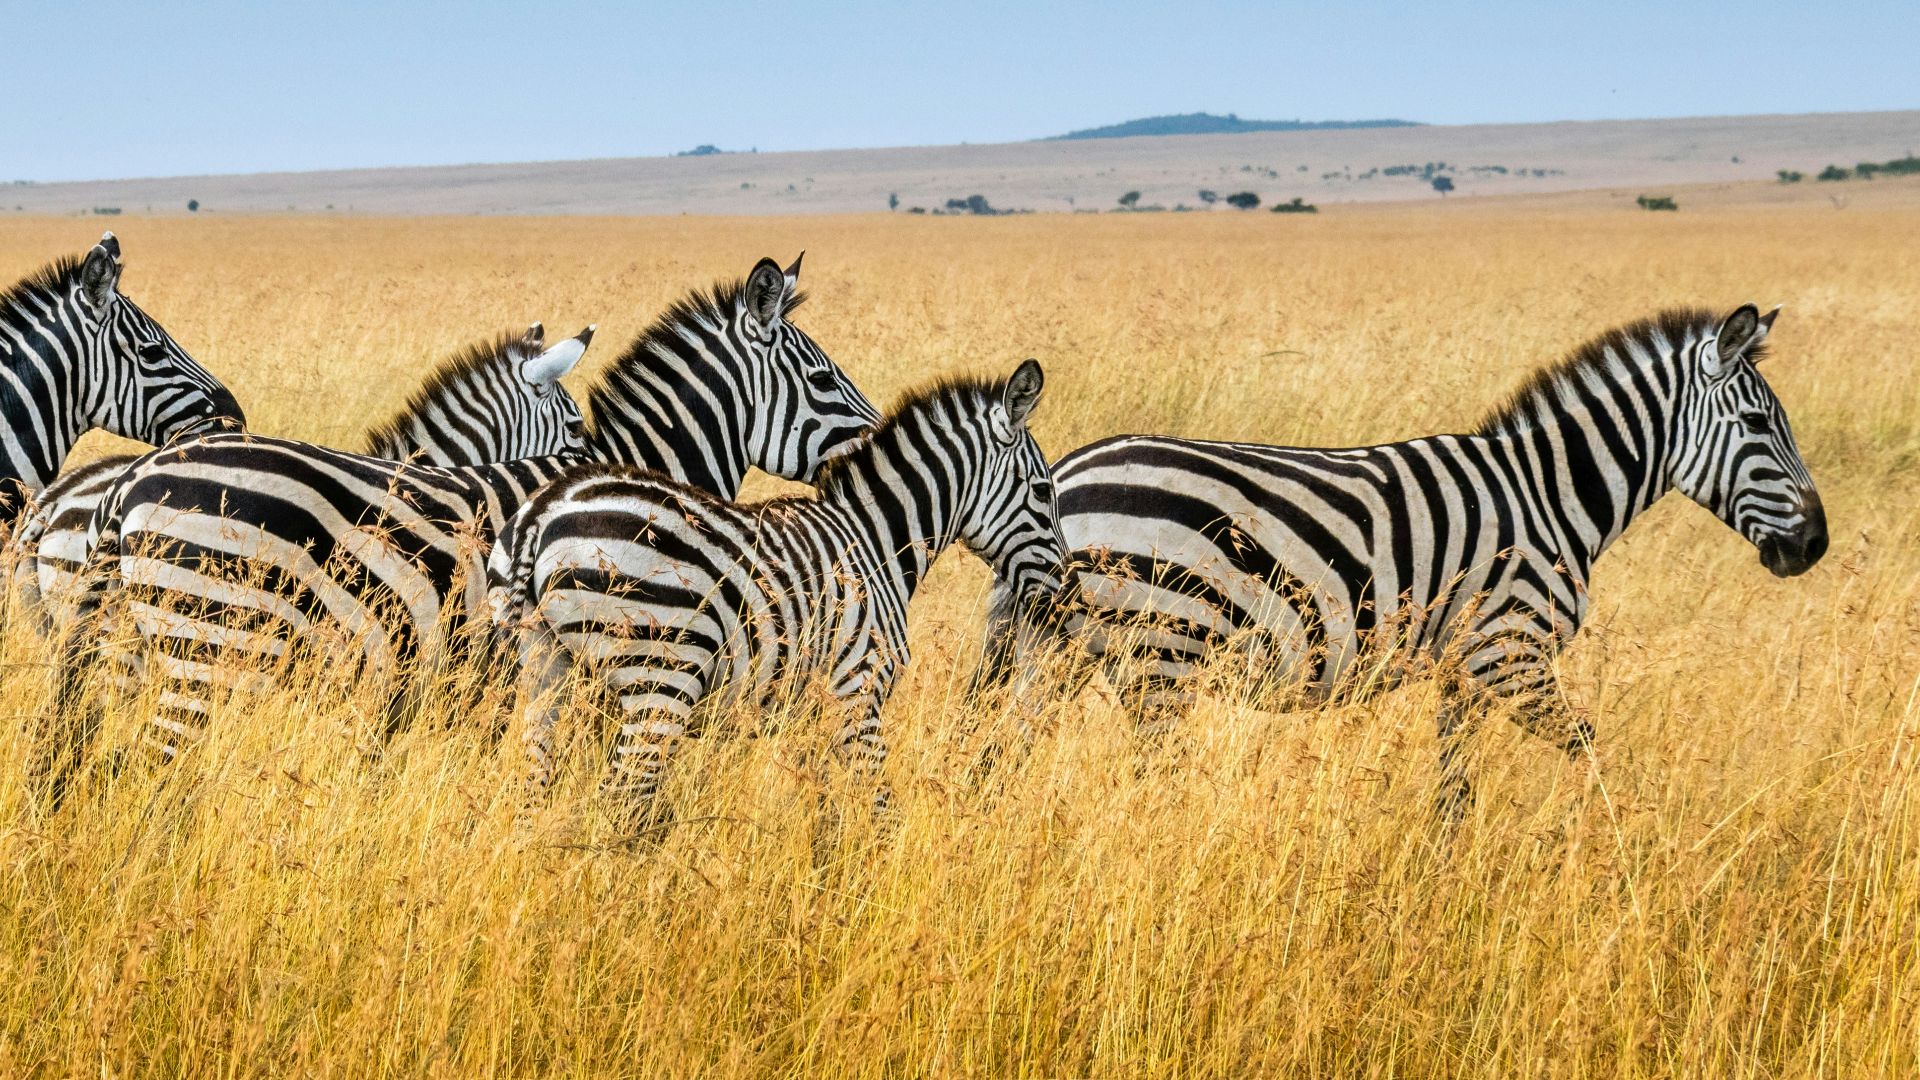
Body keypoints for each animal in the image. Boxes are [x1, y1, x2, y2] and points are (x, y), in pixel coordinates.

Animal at [495, 359, 1060, 829]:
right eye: (1041, 491)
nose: (1062, 590)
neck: (876, 541)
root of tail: (544, 510)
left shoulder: (810, 709)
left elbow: (825, 809)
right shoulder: (859, 691)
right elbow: (879, 807)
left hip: (546, 668)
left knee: (533, 793)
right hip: (660, 678)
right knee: (621, 799)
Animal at [972, 305, 1827, 814]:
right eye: (1760, 423)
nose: (1814, 545)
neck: (1552, 494)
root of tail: (1065, 475)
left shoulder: (1464, 669)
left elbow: (1455, 788)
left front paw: (1444, 879)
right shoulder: (1508, 652)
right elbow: (1588, 746)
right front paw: (1611, 847)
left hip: (1059, 654)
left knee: (998, 760)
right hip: (1160, 655)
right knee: (1149, 782)